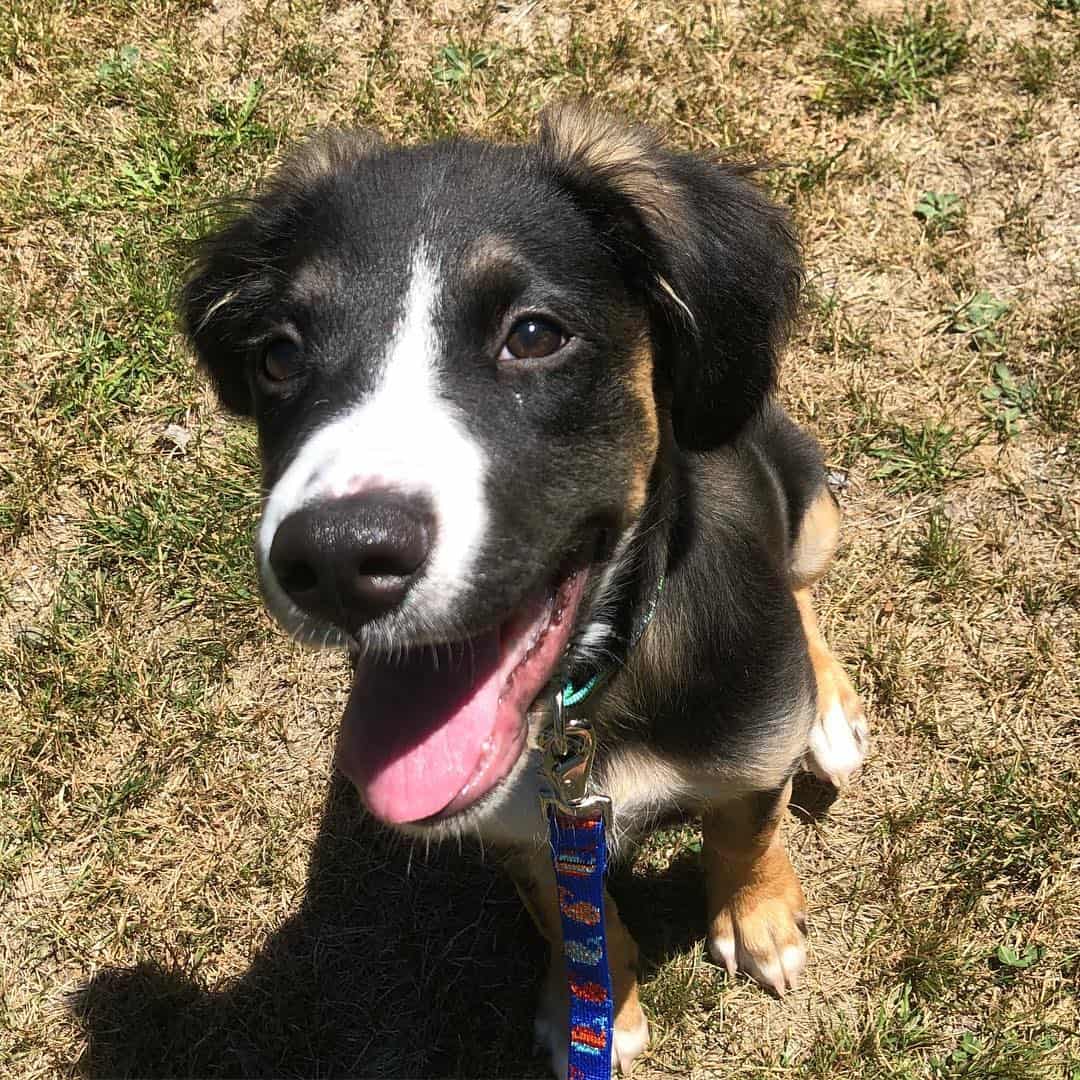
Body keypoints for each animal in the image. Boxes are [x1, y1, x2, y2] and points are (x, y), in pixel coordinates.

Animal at [179, 99, 868, 1071]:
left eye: (534, 335)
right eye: (278, 357)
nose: (336, 562)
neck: (589, 703)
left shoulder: (751, 746)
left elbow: (748, 833)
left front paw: (759, 918)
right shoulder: (523, 825)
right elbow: (567, 914)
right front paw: (595, 1007)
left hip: (809, 503)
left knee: (803, 590)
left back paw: (831, 713)